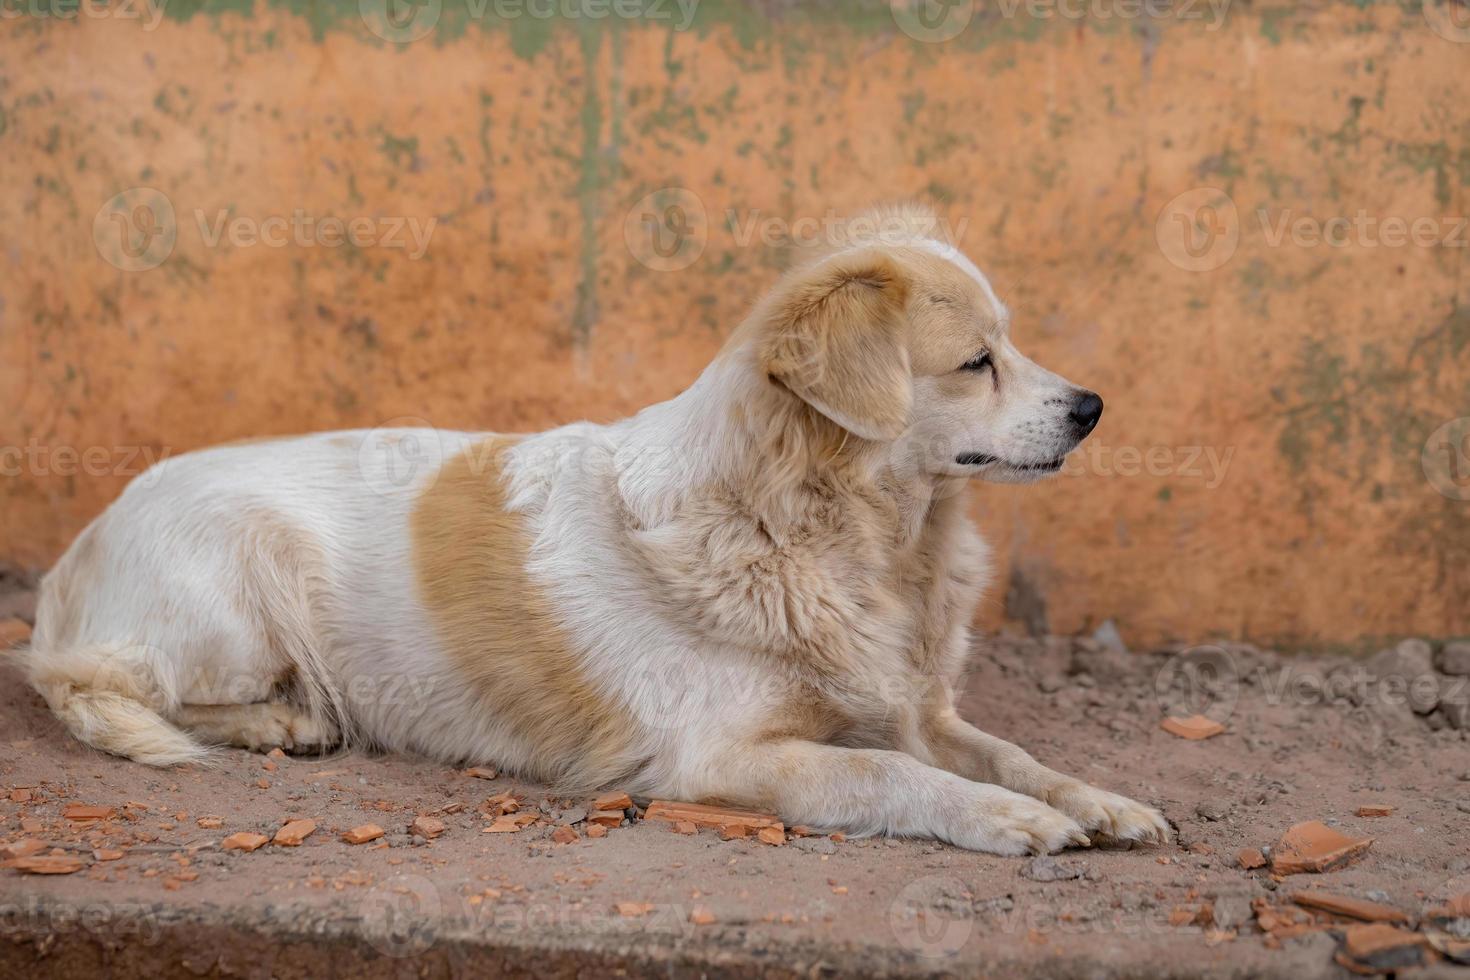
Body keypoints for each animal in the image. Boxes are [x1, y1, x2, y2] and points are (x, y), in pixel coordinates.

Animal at [25, 205, 1170, 852]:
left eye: (1013, 346)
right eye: (976, 361)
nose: (1094, 406)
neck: (835, 538)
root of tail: (75, 553)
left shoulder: (918, 708)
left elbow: (1010, 750)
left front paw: (1098, 800)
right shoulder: (721, 754)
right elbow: (896, 776)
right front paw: (1013, 821)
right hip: (239, 590)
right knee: (106, 685)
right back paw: (281, 722)